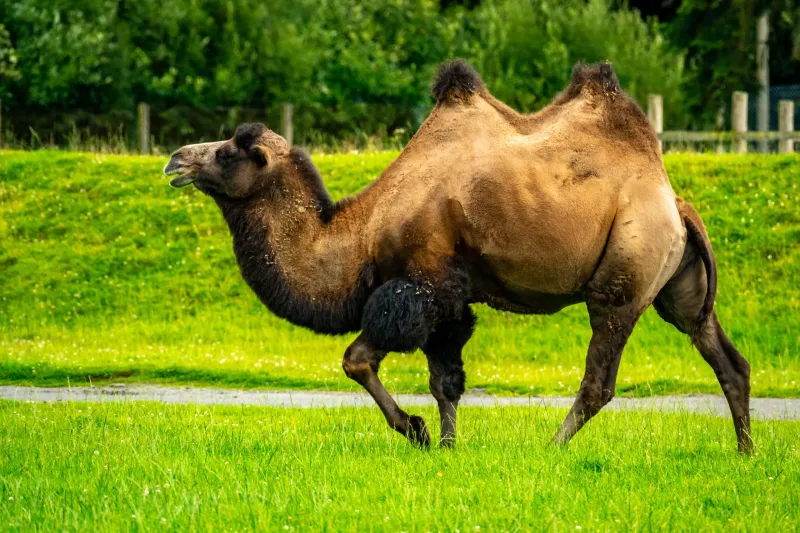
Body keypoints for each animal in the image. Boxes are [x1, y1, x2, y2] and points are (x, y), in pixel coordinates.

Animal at [163, 60, 752, 453]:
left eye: (227, 151)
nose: (175, 160)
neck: (362, 236)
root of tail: (675, 202)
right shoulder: (450, 299)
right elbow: (444, 379)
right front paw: (448, 447)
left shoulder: (419, 286)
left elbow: (358, 359)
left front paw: (417, 432)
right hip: (678, 284)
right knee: (725, 357)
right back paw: (745, 452)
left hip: (627, 268)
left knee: (600, 377)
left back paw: (551, 447)